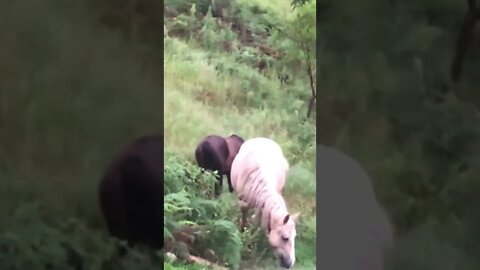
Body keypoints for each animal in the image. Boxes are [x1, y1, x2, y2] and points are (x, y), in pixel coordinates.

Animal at [231, 138, 298, 268]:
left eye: (294, 236)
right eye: (285, 238)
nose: (290, 263)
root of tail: (264, 139)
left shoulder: (264, 207)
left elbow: (258, 220)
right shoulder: (243, 202)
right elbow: (244, 217)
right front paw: (243, 234)